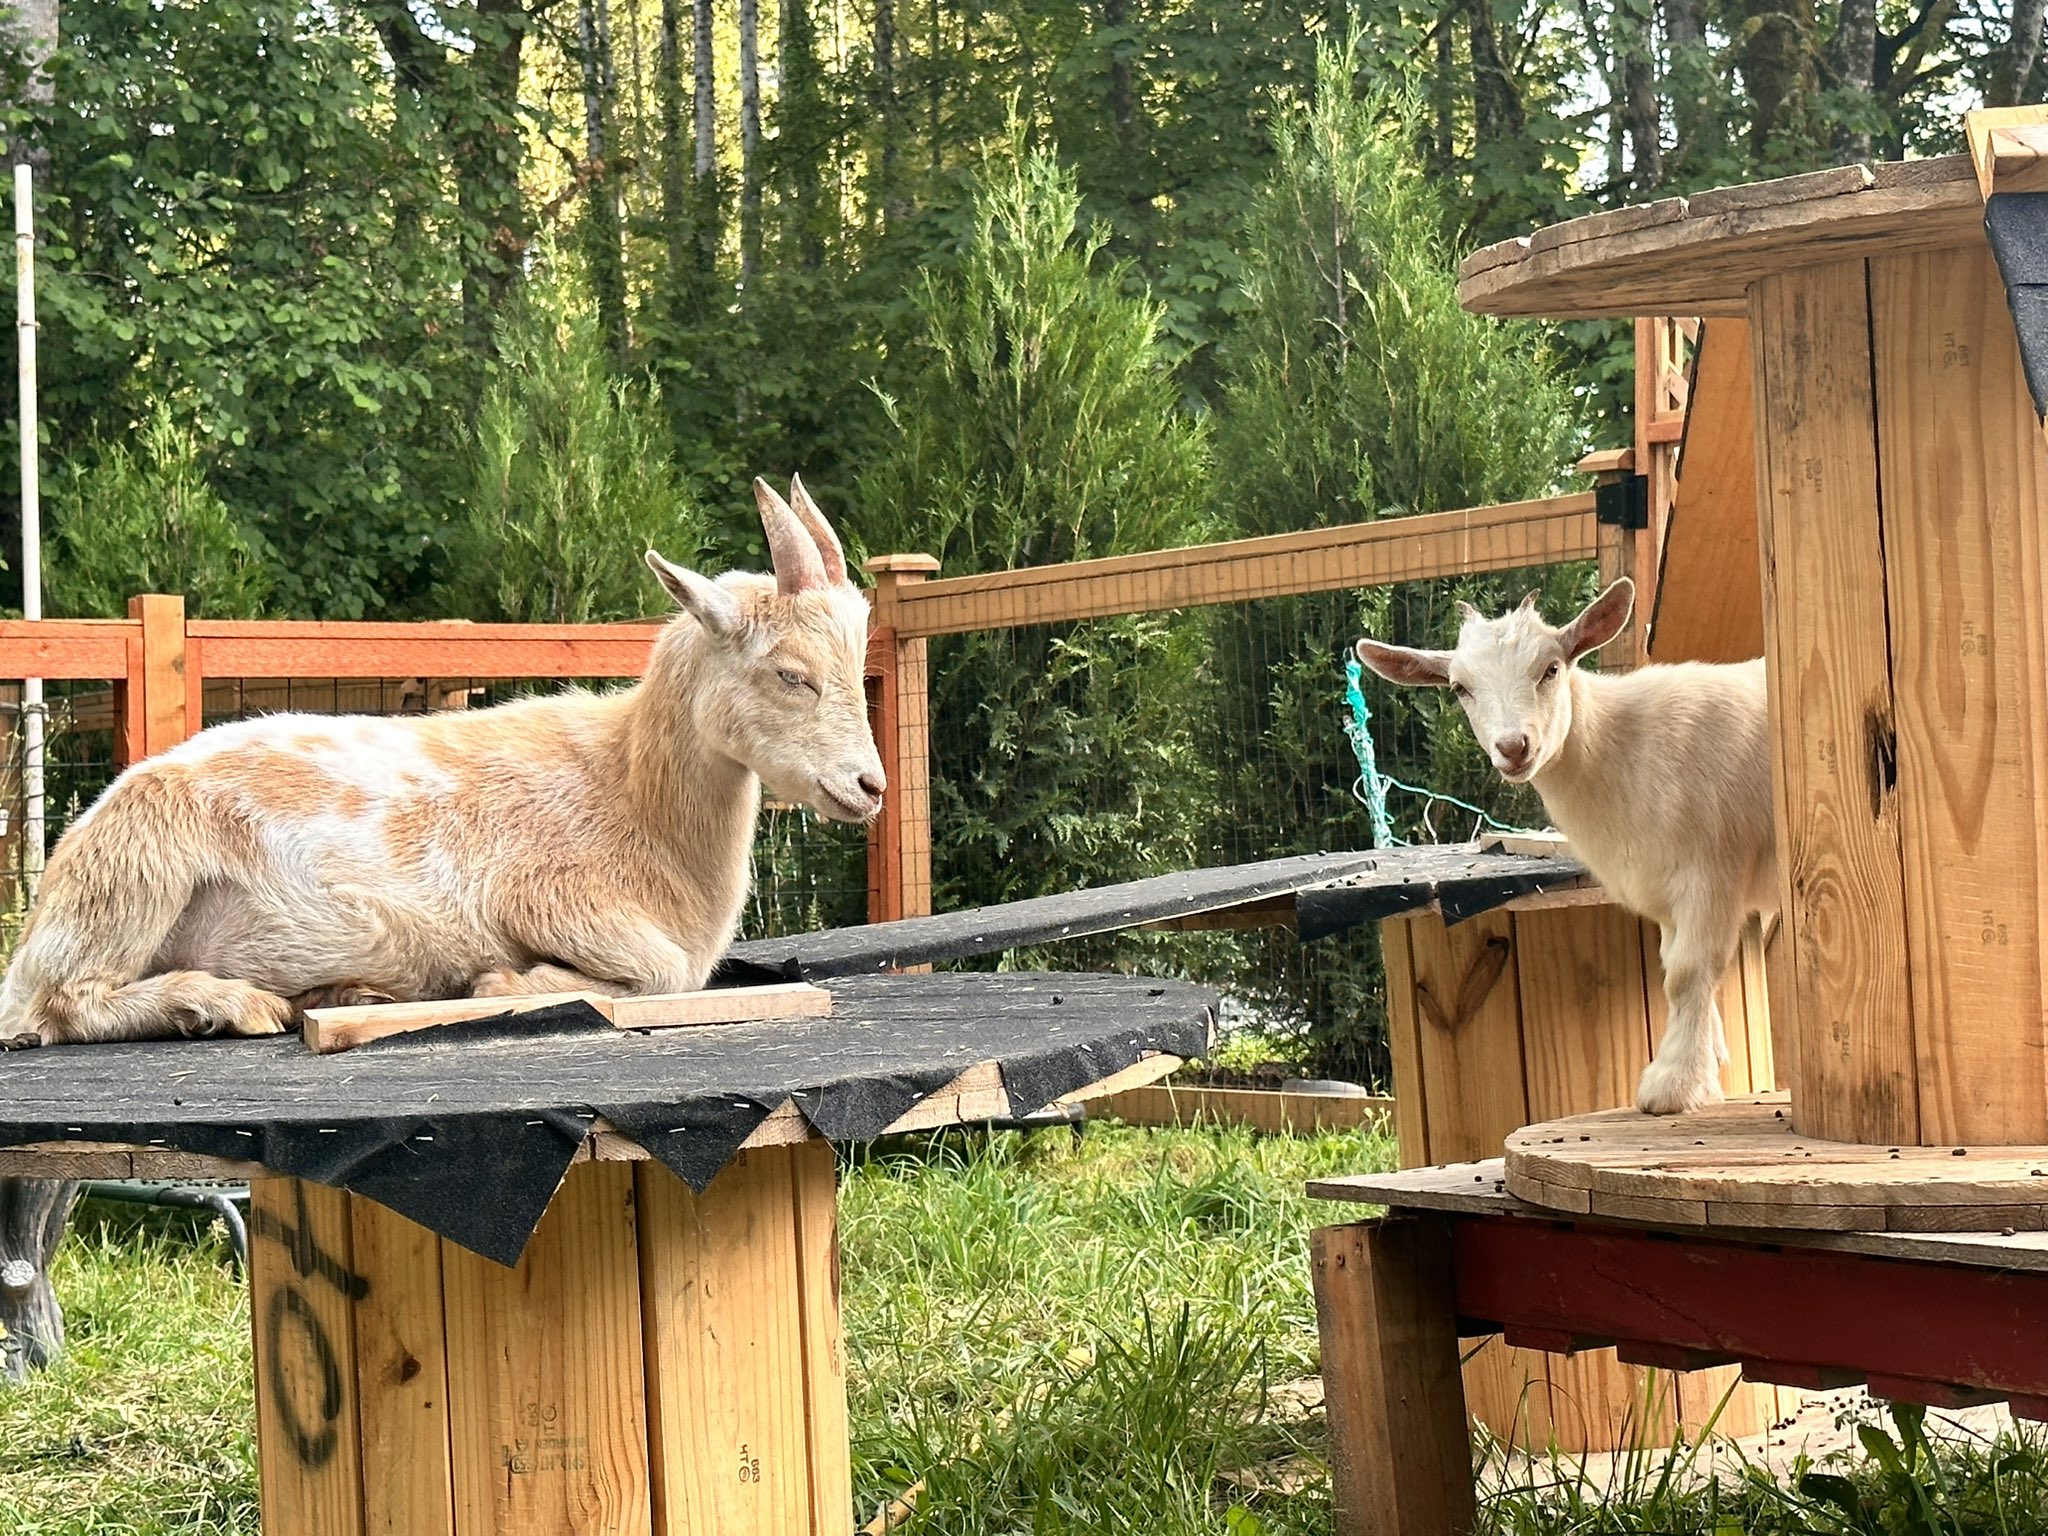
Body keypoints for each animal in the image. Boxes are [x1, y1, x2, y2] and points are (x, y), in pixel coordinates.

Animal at [0, 476, 885, 1046]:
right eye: (791, 673)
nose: (869, 786)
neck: (630, 792)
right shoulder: (538, 895)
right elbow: (661, 971)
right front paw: (501, 986)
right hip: (136, 878)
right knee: (51, 1008)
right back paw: (228, 1005)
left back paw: (337, 990)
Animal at [1354, 579, 1773, 1115]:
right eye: (1460, 688)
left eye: (1551, 669)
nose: (1513, 748)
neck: (1622, 748)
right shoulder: (1663, 887)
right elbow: (1673, 965)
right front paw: (1708, 1070)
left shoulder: (1711, 868)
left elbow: (1685, 972)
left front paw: (1671, 1086)